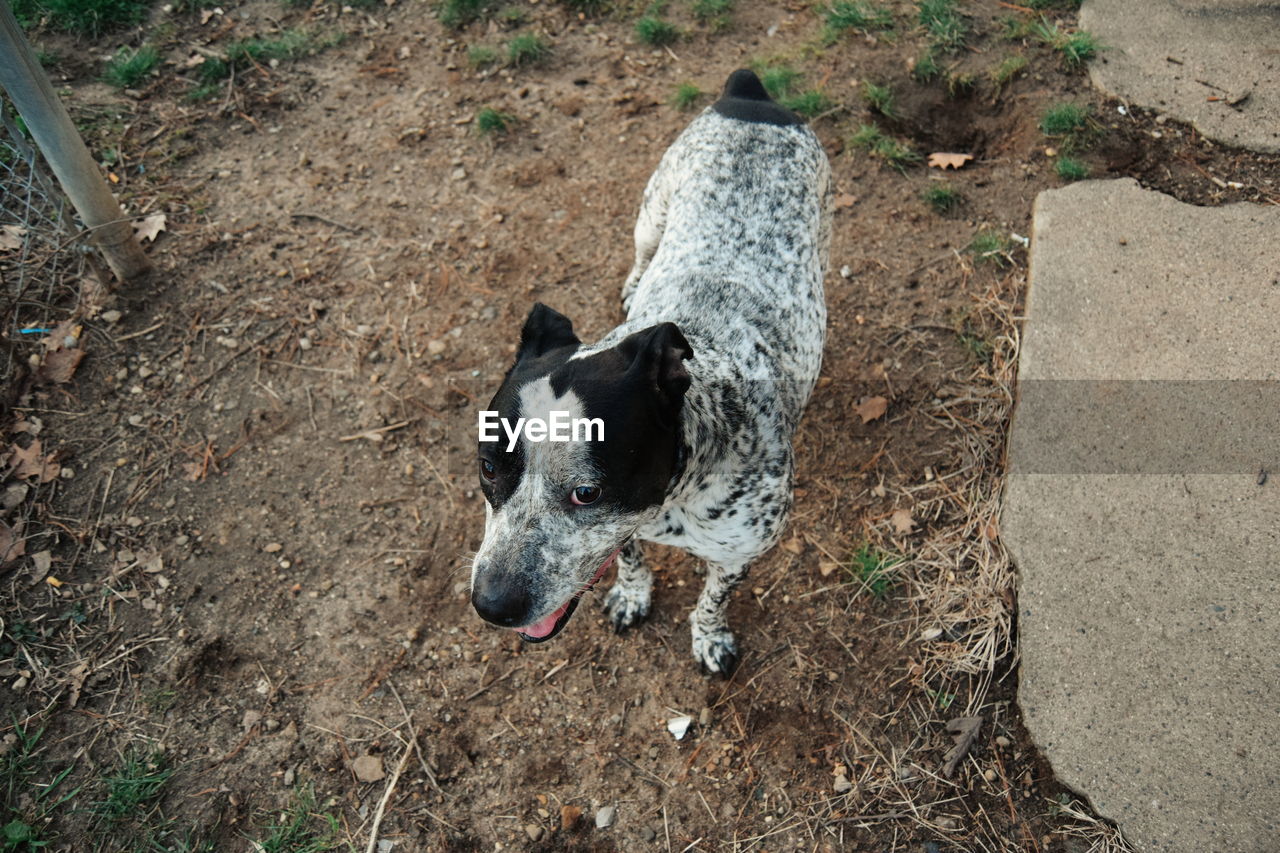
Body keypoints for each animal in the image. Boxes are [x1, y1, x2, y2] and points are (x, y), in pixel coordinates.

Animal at [471, 69, 829, 676]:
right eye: (488, 467)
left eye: (587, 493)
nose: (490, 605)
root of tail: (750, 95)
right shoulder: (626, 530)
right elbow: (630, 560)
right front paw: (633, 595)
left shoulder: (739, 552)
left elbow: (712, 599)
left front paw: (709, 636)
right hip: (652, 212)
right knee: (642, 252)